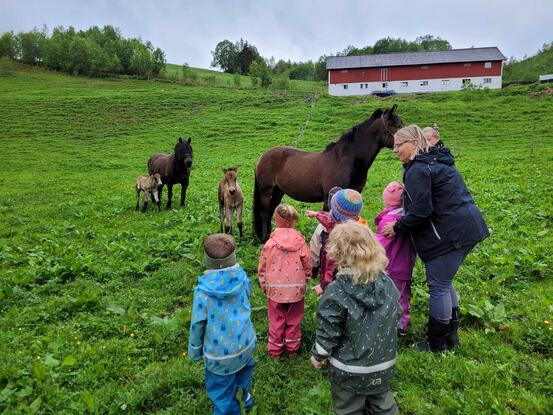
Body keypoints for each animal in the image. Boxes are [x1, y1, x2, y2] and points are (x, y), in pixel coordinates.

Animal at [253, 105, 402, 242]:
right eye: (396, 125)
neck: (345, 160)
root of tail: (262, 157)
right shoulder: (328, 198)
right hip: (266, 190)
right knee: (264, 213)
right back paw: (264, 239)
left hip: (278, 191)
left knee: (272, 210)